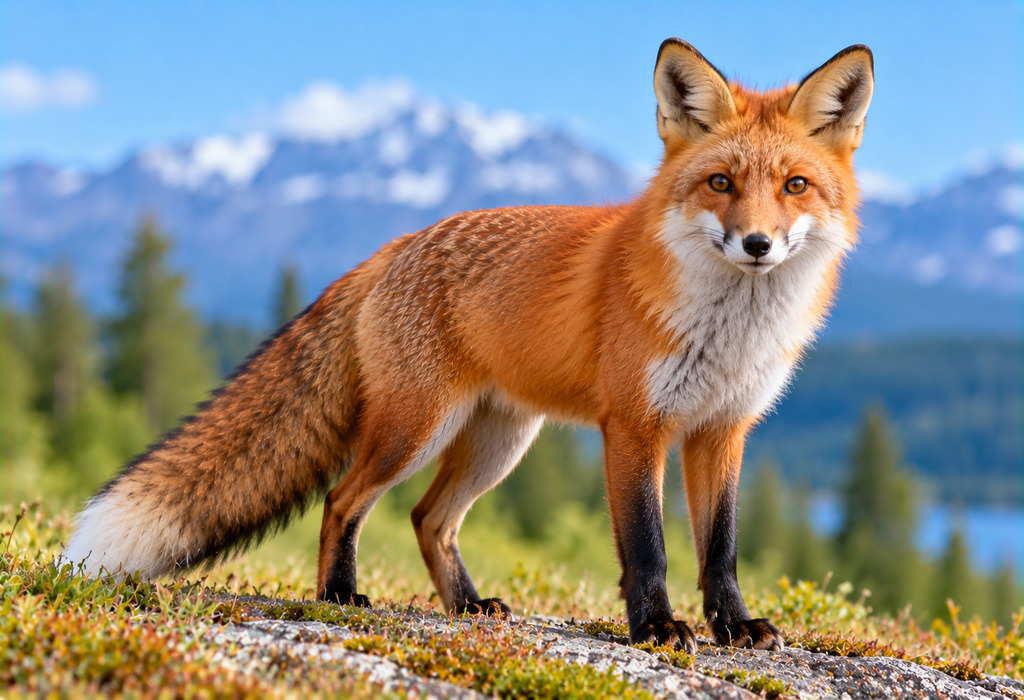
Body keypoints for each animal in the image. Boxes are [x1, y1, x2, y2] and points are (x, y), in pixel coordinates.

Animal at [64, 39, 873, 652]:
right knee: (343, 499)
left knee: (429, 519)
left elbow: (722, 548)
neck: (728, 331)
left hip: (498, 442)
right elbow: (648, 546)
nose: (757, 244)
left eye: (795, 185)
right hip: (415, 429)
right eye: (721, 183)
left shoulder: (723, 429)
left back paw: (467, 606)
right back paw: (339, 595)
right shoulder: (634, 427)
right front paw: (654, 629)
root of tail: (395, 245)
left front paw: (733, 628)